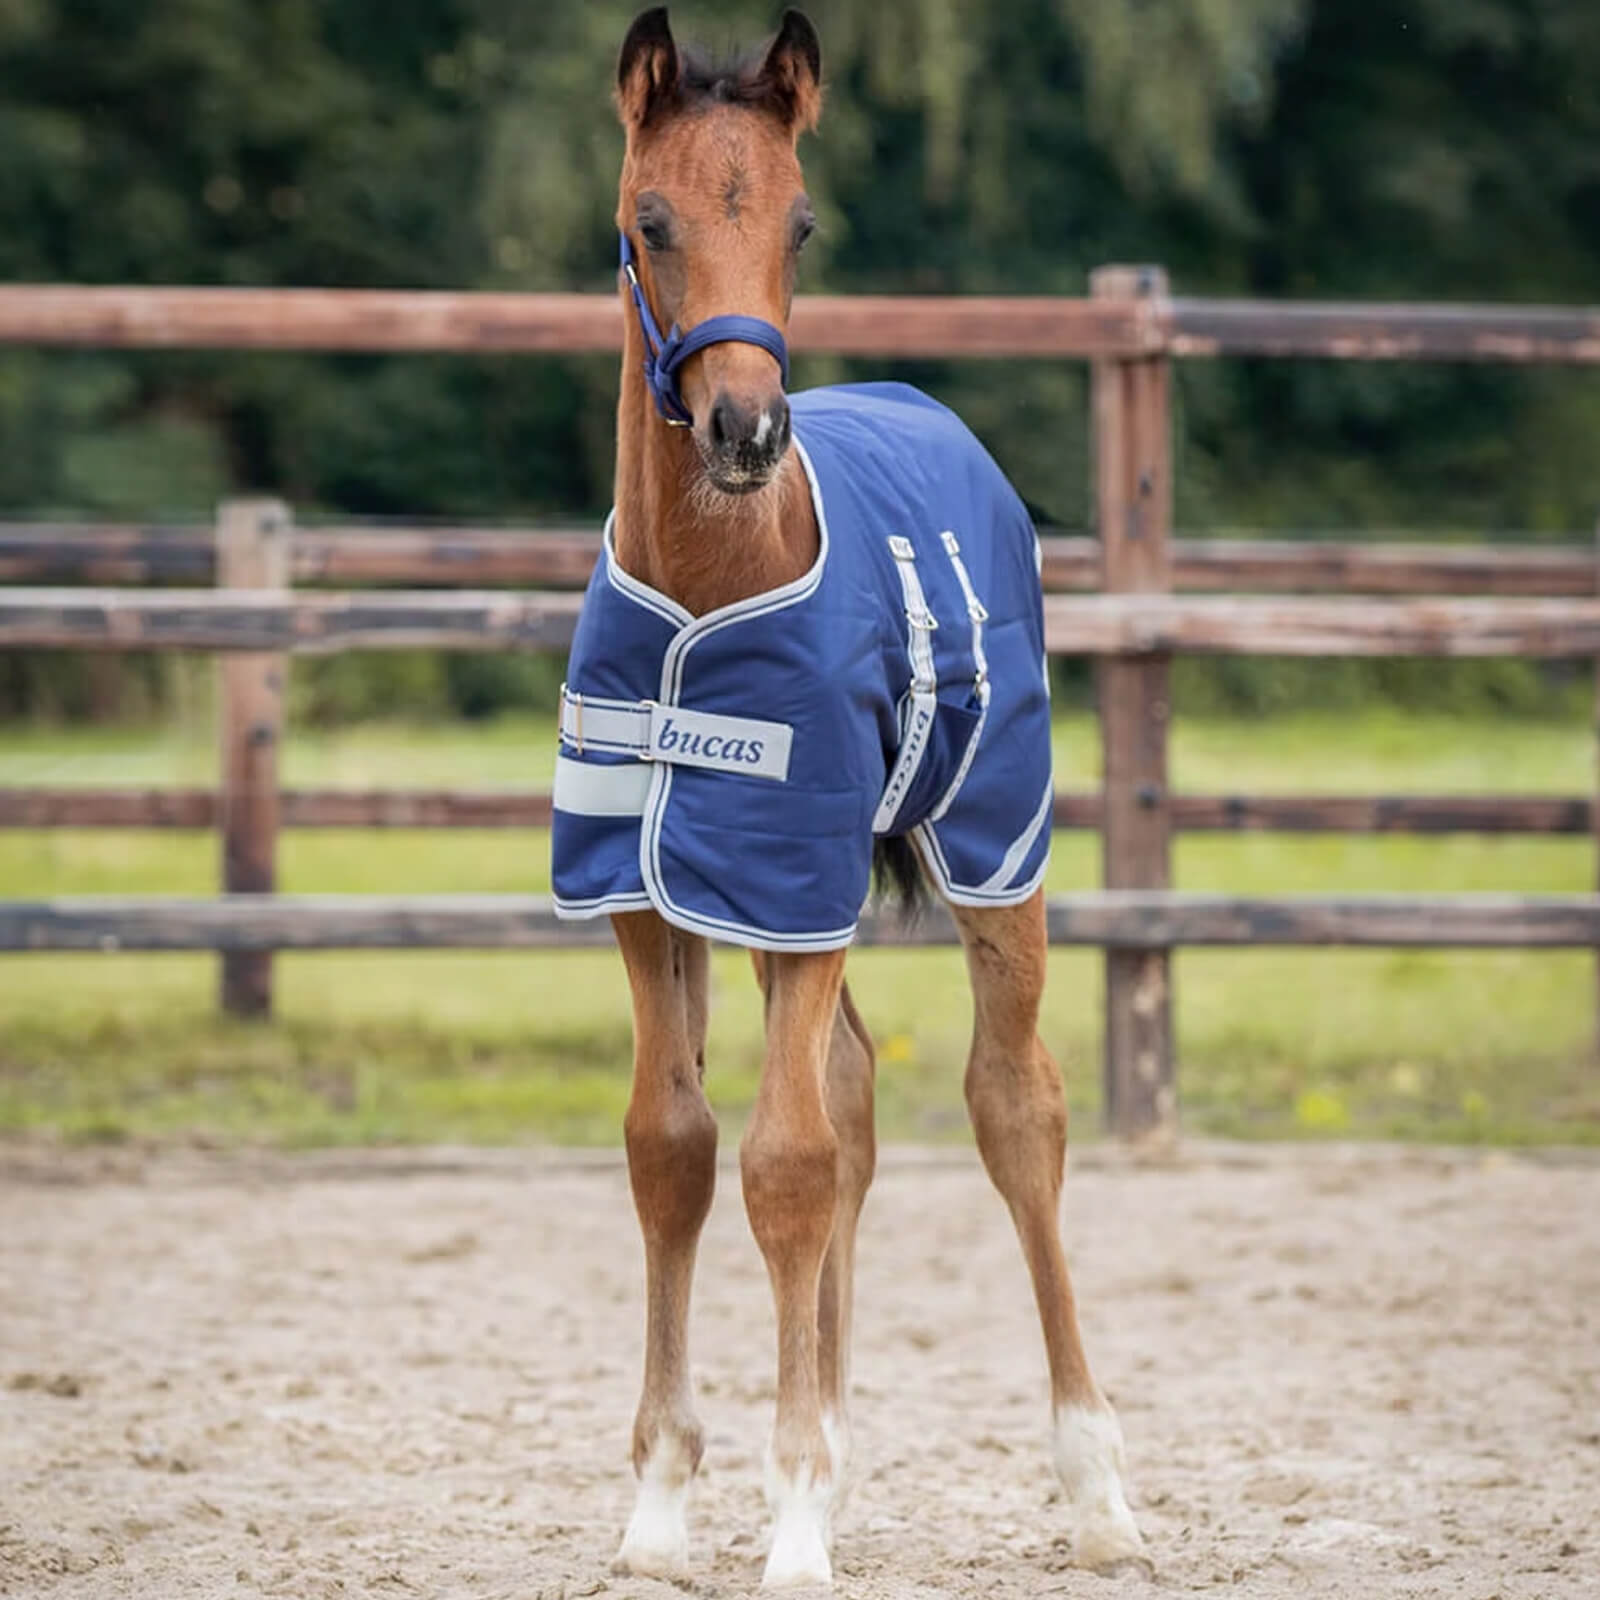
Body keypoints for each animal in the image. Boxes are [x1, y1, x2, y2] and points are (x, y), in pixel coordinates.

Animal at [549, 8, 1146, 1587]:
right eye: (651, 218)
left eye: (800, 220)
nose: (748, 430)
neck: (711, 589)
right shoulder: (658, 891)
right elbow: (677, 1149)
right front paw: (667, 1505)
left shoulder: (797, 875)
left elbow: (790, 1163)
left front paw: (796, 1519)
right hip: (775, 909)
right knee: (862, 1090)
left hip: (996, 851)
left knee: (1014, 1109)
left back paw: (1097, 1487)